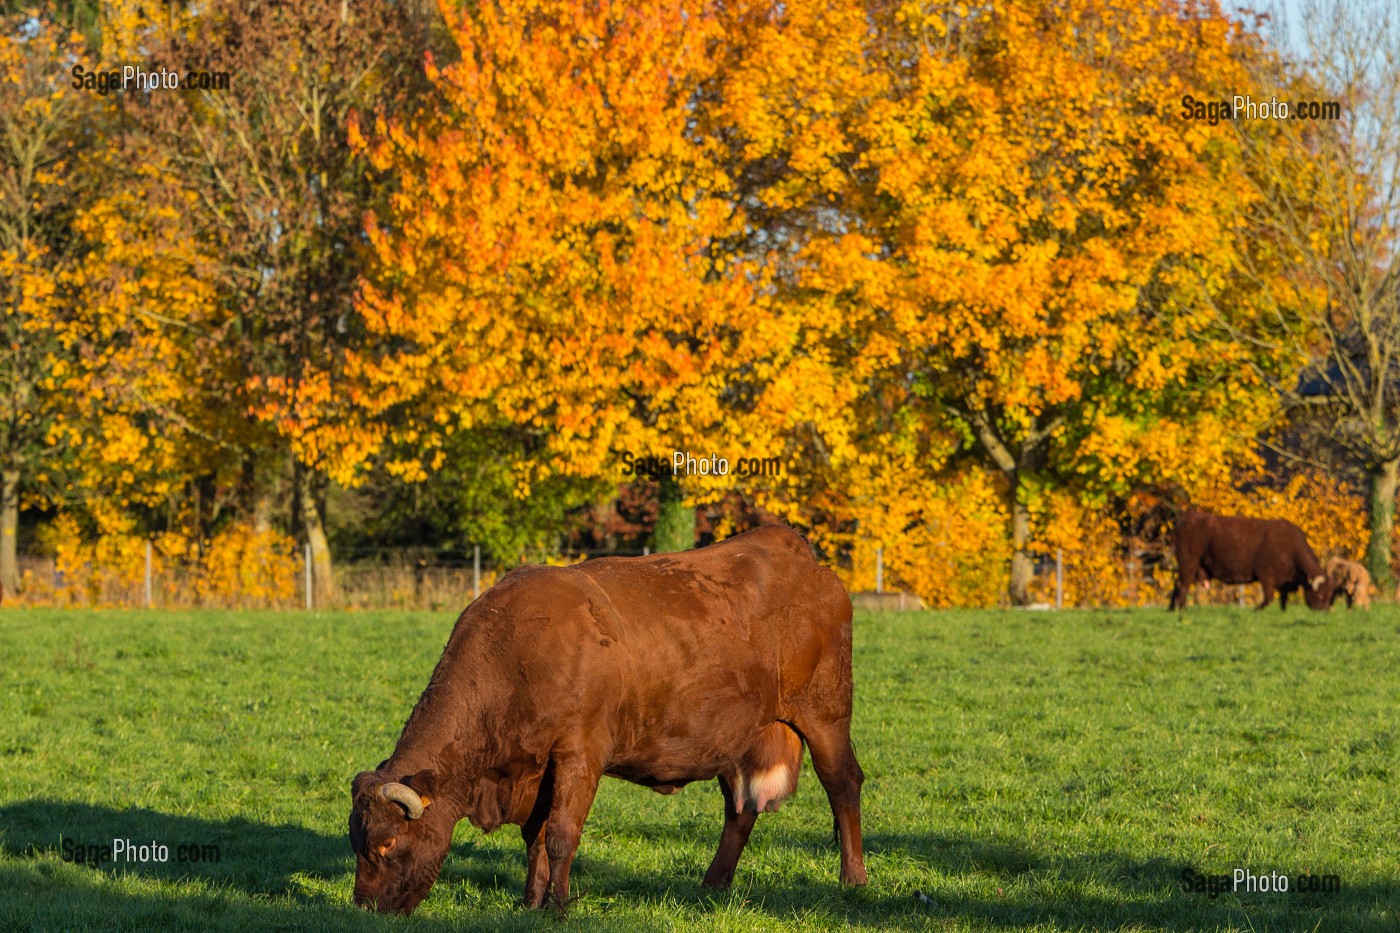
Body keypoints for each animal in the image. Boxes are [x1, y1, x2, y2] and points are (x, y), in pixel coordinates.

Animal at [348, 524, 867, 915]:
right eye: (356, 843)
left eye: (387, 844)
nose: (364, 908)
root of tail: (796, 555)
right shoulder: (539, 770)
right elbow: (535, 838)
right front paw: (530, 903)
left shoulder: (580, 754)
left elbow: (561, 836)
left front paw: (558, 907)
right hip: (739, 736)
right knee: (740, 809)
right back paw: (713, 883)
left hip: (826, 713)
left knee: (842, 784)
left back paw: (853, 878)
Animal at [1168, 510, 1332, 611]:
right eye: (1320, 594)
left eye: (1329, 595)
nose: (1323, 611)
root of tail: (1187, 519)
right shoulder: (1266, 575)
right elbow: (1268, 597)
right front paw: (1256, 610)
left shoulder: (1283, 582)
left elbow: (1282, 600)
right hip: (1188, 563)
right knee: (1182, 585)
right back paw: (1182, 609)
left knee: (1178, 585)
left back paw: (1172, 609)